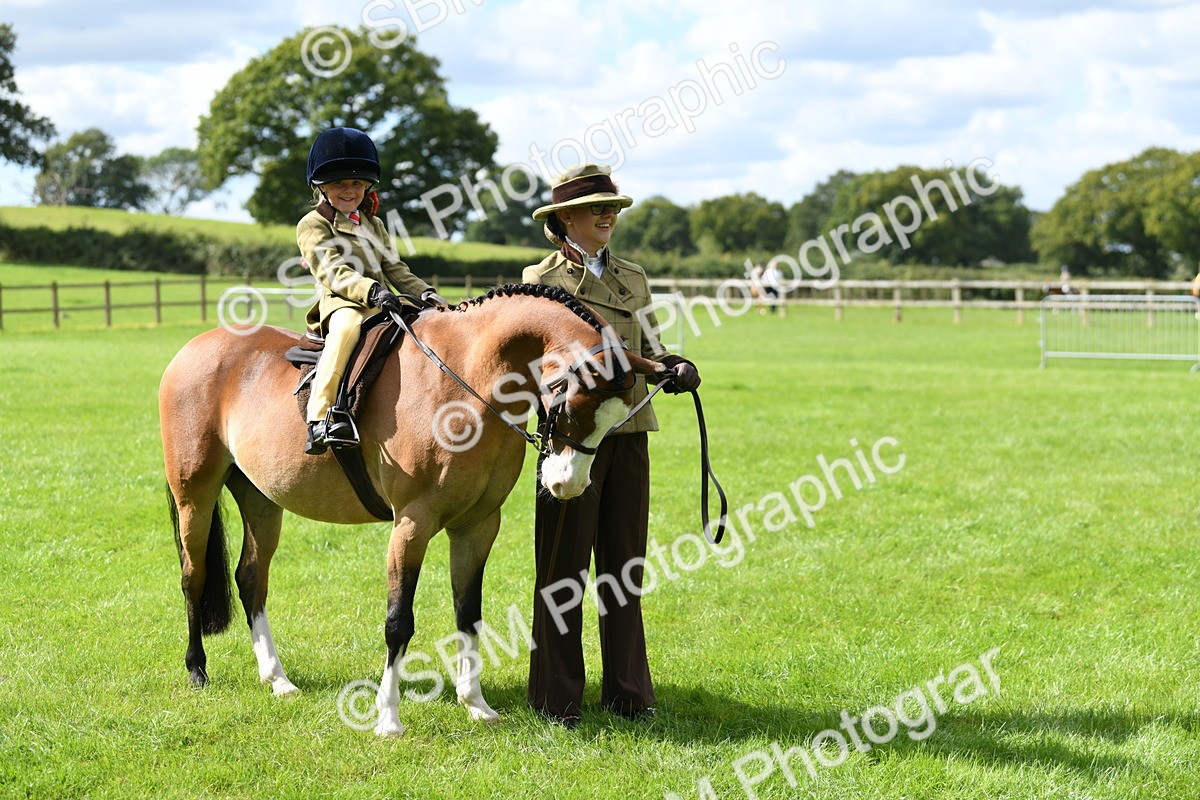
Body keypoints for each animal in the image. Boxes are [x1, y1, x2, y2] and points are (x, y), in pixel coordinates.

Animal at [159, 284, 664, 737]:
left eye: (614, 419)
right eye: (569, 405)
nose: (567, 484)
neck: (468, 382)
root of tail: (193, 349)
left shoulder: (477, 527)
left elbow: (469, 613)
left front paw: (475, 704)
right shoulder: (412, 524)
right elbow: (398, 623)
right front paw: (388, 719)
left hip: (262, 501)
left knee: (251, 579)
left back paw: (277, 679)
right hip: (195, 495)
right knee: (193, 576)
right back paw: (197, 669)